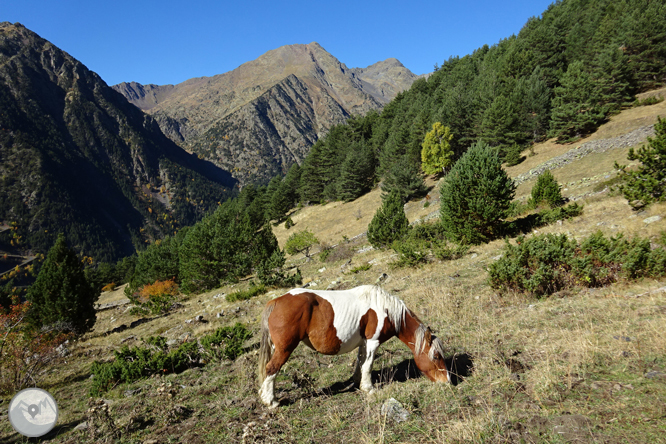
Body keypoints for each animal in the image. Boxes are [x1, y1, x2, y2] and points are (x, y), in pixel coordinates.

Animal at [256, 286, 448, 408]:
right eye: (436, 356)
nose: (447, 381)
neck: (385, 310)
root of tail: (276, 301)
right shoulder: (373, 341)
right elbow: (368, 365)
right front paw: (368, 388)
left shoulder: (364, 342)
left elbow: (360, 362)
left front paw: (357, 382)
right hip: (285, 349)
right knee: (271, 368)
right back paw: (271, 402)